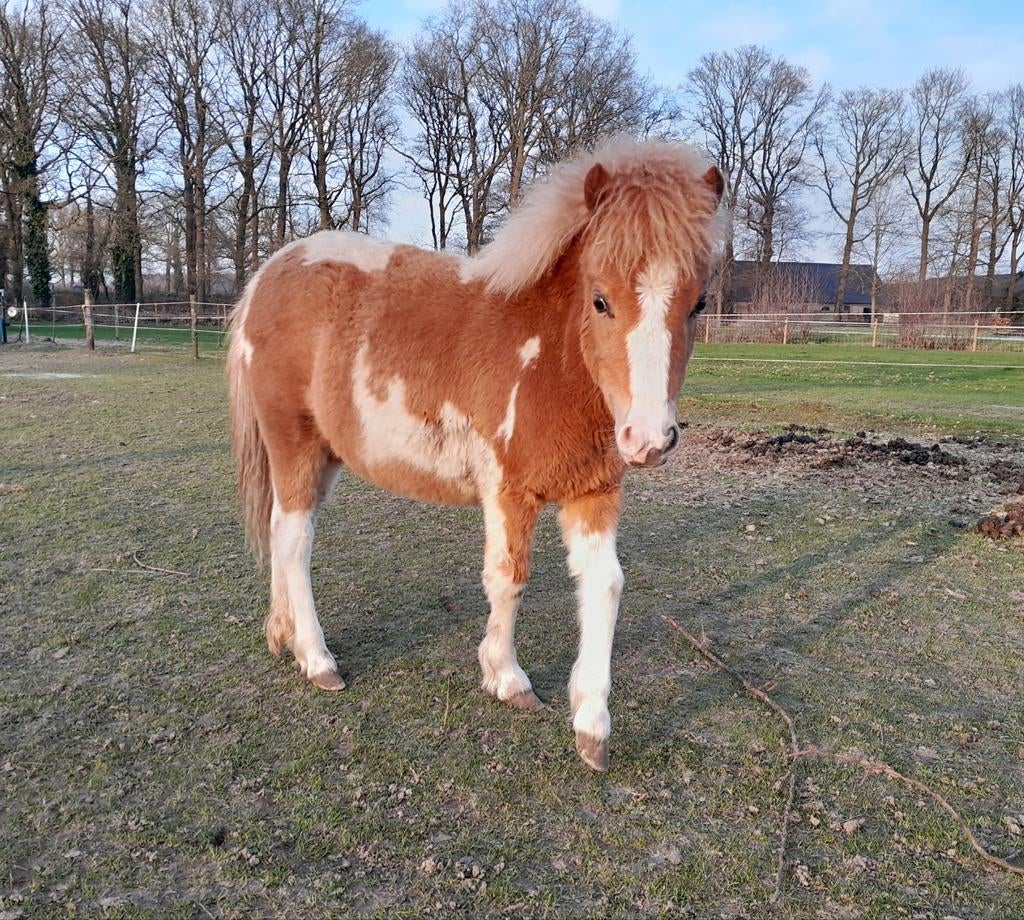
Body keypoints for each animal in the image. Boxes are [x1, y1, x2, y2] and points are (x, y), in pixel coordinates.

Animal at [228, 138, 724, 771]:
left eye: (698, 303)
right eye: (601, 301)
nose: (650, 439)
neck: (550, 357)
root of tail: (268, 274)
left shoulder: (592, 492)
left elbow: (605, 585)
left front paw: (591, 726)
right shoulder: (508, 491)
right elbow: (508, 577)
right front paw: (507, 679)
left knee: (276, 531)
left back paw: (283, 635)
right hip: (295, 445)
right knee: (294, 542)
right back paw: (317, 660)